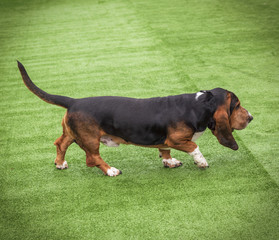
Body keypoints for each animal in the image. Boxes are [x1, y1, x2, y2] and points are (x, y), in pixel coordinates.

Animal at [17, 60, 254, 176]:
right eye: (237, 106)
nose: (251, 117)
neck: (199, 104)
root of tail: (74, 101)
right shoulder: (176, 139)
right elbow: (194, 148)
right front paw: (201, 162)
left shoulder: (165, 141)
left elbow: (164, 151)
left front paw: (169, 162)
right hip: (91, 139)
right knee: (92, 158)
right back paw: (111, 171)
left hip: (73, 133)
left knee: (61, 143)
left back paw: (60, 164)